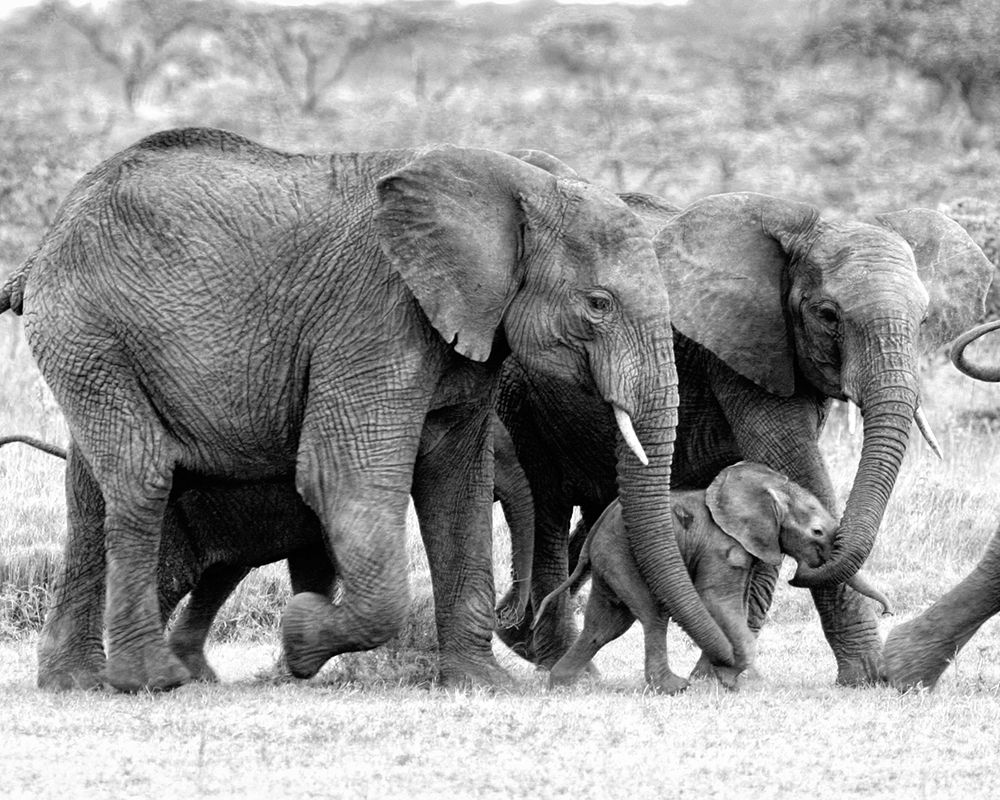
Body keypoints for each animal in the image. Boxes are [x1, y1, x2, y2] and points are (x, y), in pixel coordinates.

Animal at [0, 414, 535, 682]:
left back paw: (196, 674)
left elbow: (314, 563)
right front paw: (295, 666)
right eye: (497, 456)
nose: (509, 613)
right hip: (173, 514)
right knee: (173, 578)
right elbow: (321, 558)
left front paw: (293, 666)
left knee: (217, 575)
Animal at [533, 462, 892, 693]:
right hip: (622, 554)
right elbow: (716, 601)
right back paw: (673, 687)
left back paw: (562, 684)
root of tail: (595, 532)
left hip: (611, 559)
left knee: (606, 623)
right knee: (652, 615)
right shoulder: (721, 546)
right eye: (816, 532)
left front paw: (728, 678)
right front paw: (738, 679)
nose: (888, 611)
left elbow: (737, 605)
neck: (766, 491)